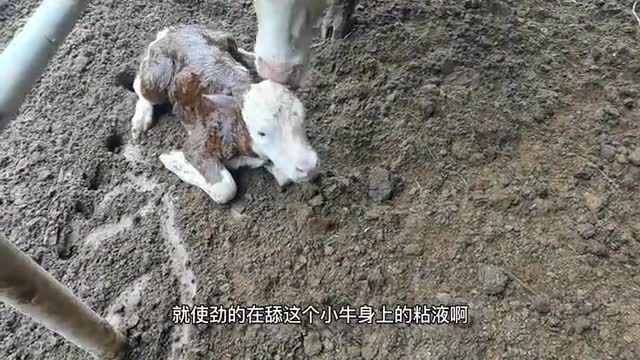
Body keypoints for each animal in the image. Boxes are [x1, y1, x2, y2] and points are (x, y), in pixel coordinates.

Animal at [131, 25, 320, 204]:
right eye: (261, 132)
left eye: (303, 118)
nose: (310, 167)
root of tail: (170, 33)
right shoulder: (200, 140)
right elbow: (224, 189)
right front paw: (174, 160)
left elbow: (283, 176)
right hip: (157, 77)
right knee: (139, 86)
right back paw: (140, 121)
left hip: (224, 37)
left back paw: (252, 59)